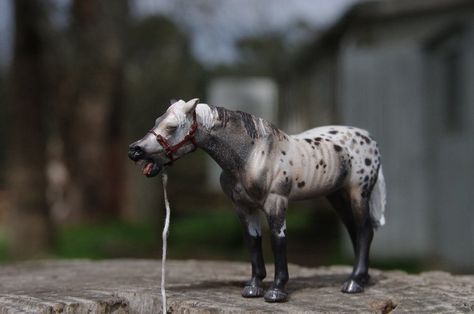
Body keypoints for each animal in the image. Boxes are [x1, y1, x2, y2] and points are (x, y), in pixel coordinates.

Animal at [129, 99, 386, 302]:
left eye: (172, 127)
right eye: (157, 120)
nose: (134, 151)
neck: (252, 156)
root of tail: (368, 138)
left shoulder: (276, 203)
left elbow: (277, 240)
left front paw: (276, 290)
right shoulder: (243, 208)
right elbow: (253, 241)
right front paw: (253, 287)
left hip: (358, 193)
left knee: (365, 231)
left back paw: (354, 283)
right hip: (336, 195)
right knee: (355, 230)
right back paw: (361, 278)